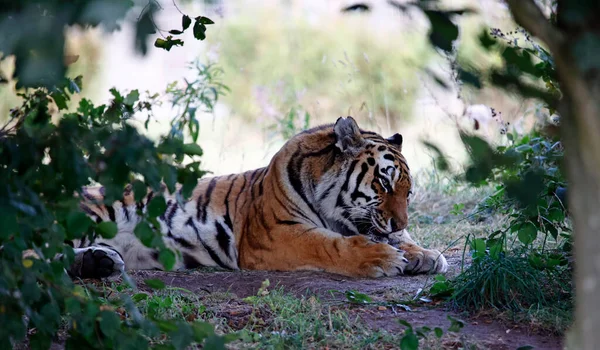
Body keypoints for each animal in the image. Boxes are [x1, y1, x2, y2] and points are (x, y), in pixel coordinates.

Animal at [68, 117, 448, 278]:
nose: (399, 223)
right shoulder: (278, 233)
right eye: (384, 184)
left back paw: (100, 262)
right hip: (89, 214)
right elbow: (332, 245)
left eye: (408, 192)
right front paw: (384, 258)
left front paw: (425, 254)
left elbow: (399, 240)